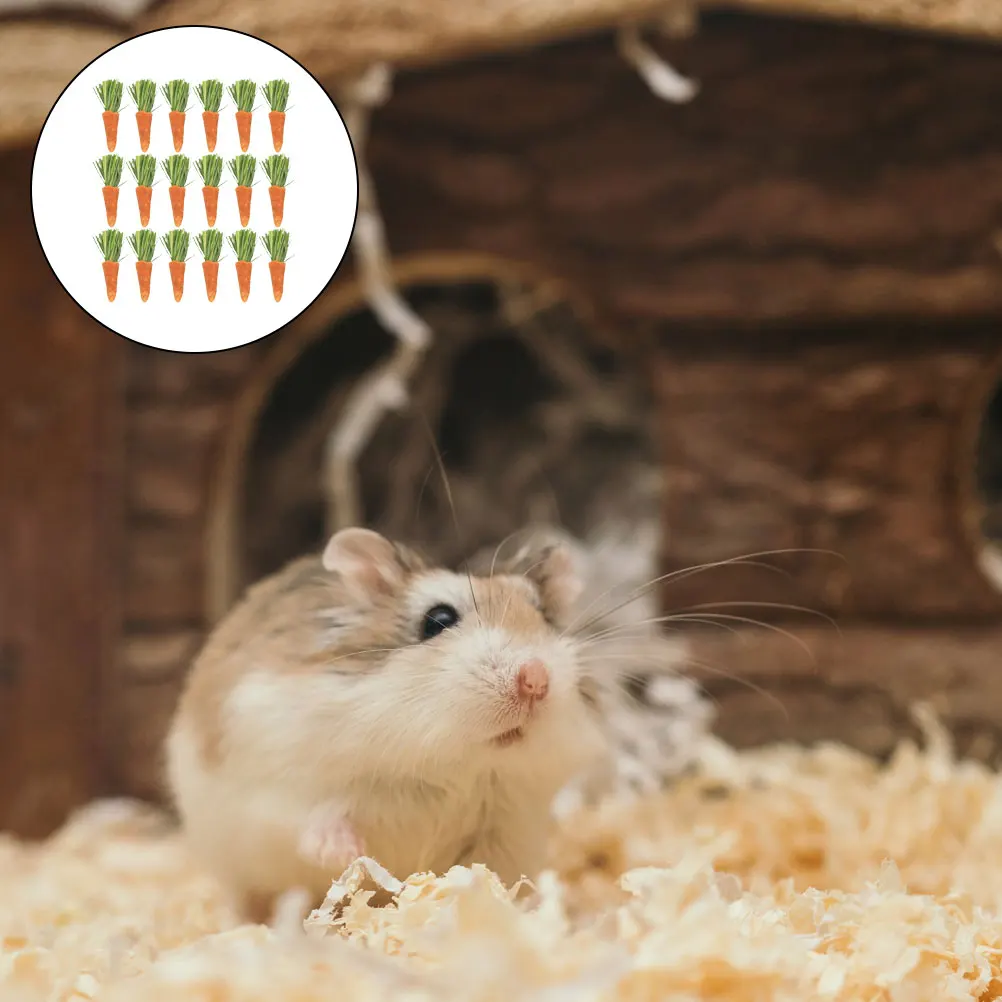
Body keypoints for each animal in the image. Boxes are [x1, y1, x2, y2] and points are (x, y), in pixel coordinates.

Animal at [165, 527, 611, 922]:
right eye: (438, 619)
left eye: (543, 616)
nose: (536, 679)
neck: (451, 763)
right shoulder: (281, 783)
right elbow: (313, 819)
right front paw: (348, 854)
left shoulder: (507, 828)